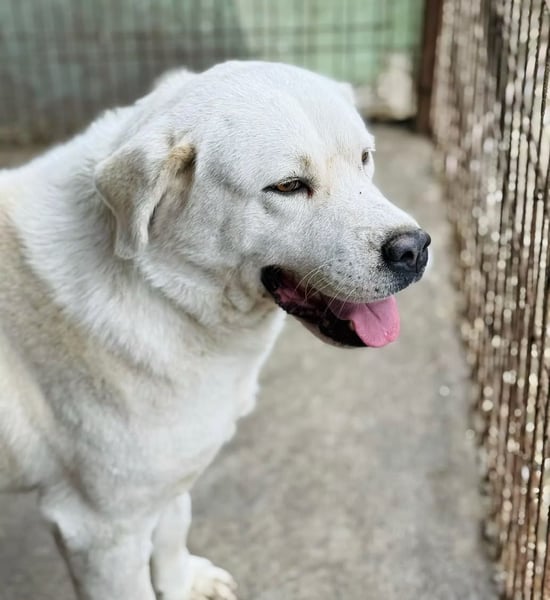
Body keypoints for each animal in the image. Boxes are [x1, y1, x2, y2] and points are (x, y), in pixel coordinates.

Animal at [0, 61, 430, 599]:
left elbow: (174, 523)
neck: (165, 293)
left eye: (365, 158)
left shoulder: (166, 477)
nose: (414, 249)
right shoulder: (99, 532)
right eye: (288, 187)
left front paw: (182, 582)